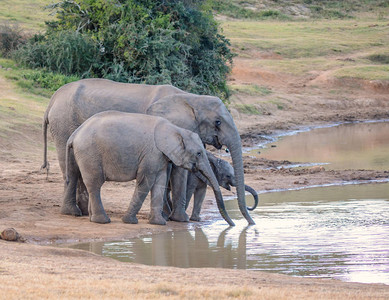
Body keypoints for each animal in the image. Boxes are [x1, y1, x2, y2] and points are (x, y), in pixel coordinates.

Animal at [65, 111, 233, 226]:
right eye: (198, 153)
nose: (232, 225)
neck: (176, 129)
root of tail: (74, 134)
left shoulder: (160, 156)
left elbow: (160, 182)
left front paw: (159, 223)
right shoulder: (151, 153)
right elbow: (145, 183)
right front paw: (130, 221)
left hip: (82, 154)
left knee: (82, 180)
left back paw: (90, 218)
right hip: (90, 153)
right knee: (95, 184)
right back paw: (103, 221)